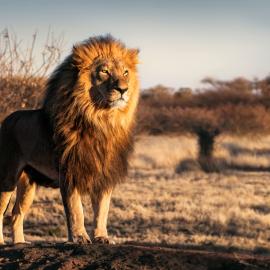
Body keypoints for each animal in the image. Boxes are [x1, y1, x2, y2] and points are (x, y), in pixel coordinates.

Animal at [0, 34, 139, 244]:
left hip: (28, 184)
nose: (123, 89)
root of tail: (5, 120)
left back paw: (20, 243)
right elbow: (76, 209)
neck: (101, 120)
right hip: (7, 178)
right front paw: (79, 237)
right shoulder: (69, 171)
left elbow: (102, 210)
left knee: (16, 214)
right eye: (104, 71)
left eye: (125, 72)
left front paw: (102, 237)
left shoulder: (104, 174)